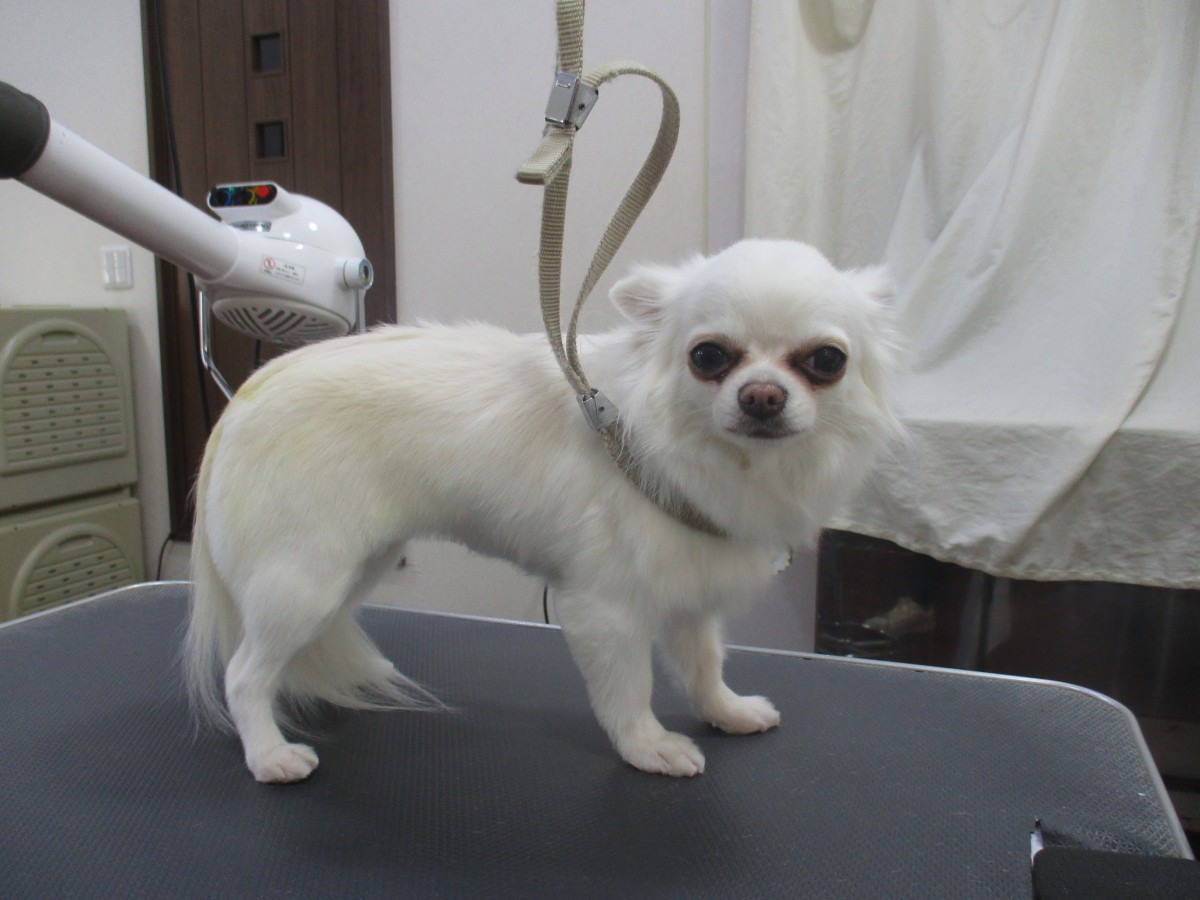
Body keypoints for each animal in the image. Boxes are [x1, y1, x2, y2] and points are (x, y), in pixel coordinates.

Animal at [185, 238, 902, 783]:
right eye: (708, 357)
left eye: (826, 361)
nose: (761, 396)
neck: (731, 463)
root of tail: (245, 397)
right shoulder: (604, 610)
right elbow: (629, 689)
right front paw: (648, 747)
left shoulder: (688, 589)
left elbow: (703, 664)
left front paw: (725, 711)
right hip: (304, 579)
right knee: (244, 674)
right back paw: (269, 754)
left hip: (356, 566)